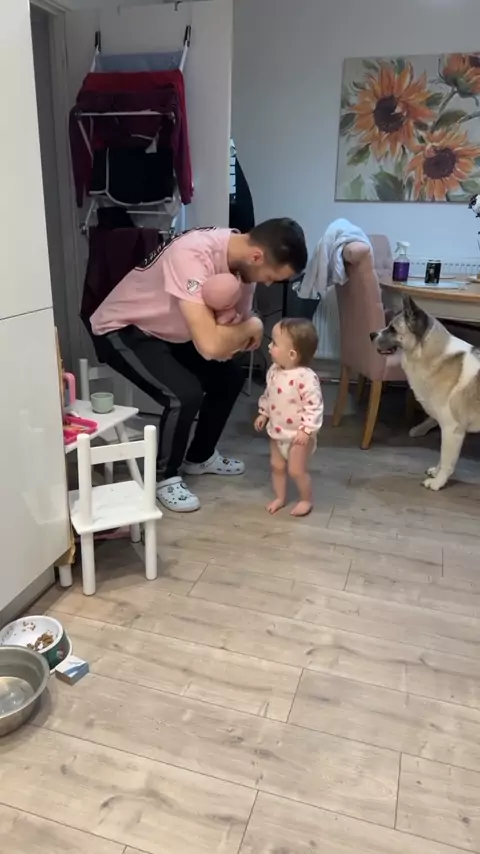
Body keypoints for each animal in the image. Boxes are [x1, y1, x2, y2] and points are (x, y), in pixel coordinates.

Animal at [370, 295, 480, 490]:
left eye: (392, 329)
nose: (371, 335)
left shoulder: (452, 429)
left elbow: (447, 460)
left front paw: (437, 483)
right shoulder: (447, 430)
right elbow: (442, 458)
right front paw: (436, 473)